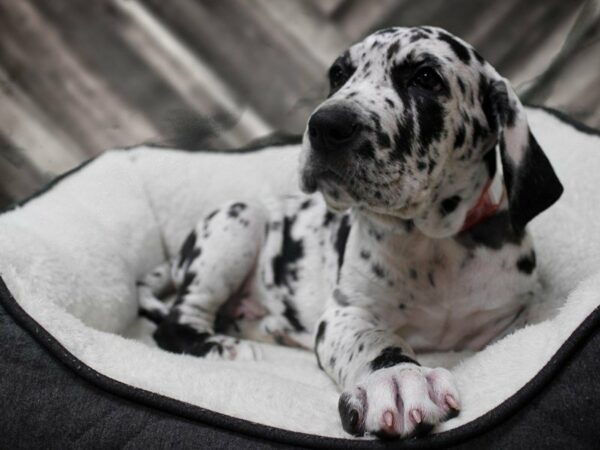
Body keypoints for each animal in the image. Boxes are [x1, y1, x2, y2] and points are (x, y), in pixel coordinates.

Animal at [137, 27, 564, 440]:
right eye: (338, 74)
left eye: (426, 77)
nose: (325, 125)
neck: (434, 241)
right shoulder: (347, 313)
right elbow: (377, 339)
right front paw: (397, 378)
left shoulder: (513, 316)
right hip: (239, 223)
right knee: (175, 322)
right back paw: (222, 347)